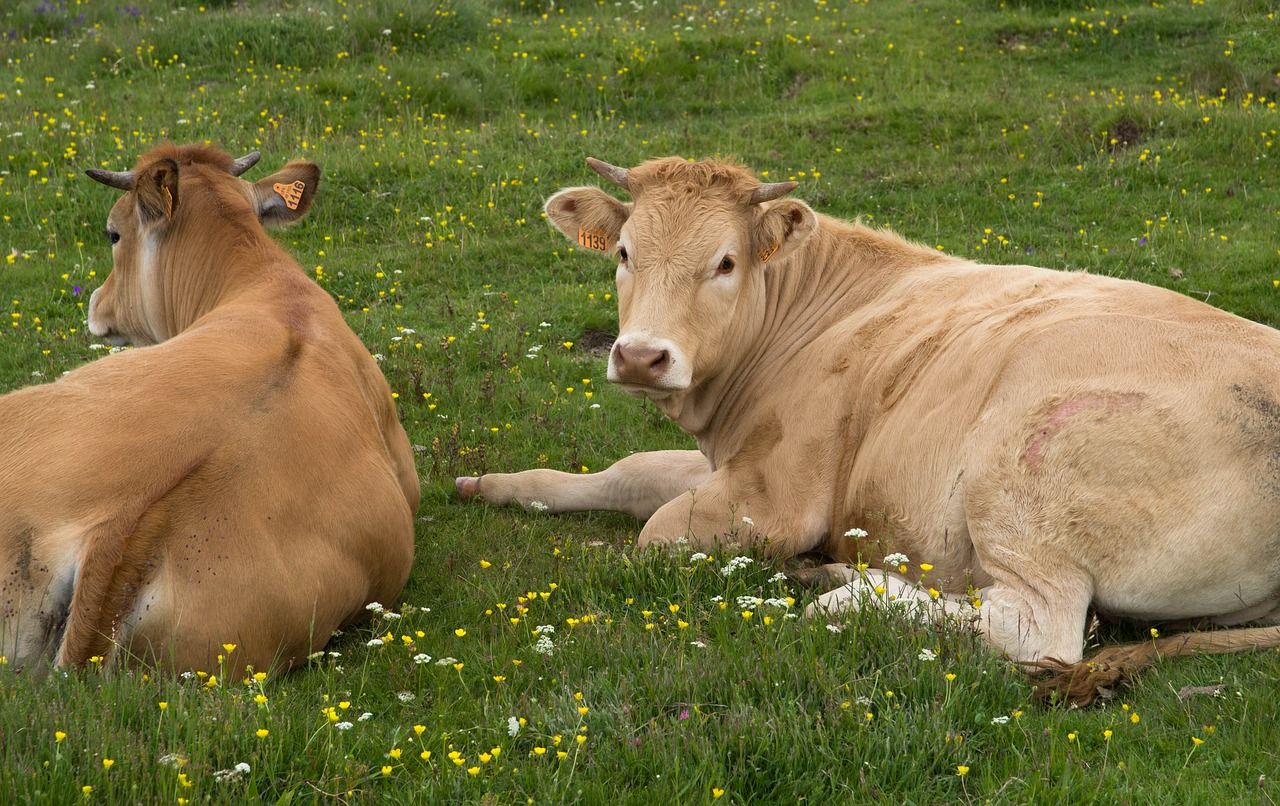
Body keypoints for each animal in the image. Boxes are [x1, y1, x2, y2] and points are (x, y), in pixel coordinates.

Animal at [458, 156, 1280, 701]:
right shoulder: (734, 458)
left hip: (1023, 464)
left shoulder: (778, 494)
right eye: (625, 254)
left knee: (1032, 627)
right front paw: (488, 484)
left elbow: (654, 534)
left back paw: (845, 591)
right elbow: (628, 472)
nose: (640, 355)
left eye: (724, 262)